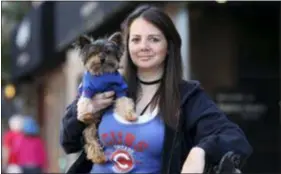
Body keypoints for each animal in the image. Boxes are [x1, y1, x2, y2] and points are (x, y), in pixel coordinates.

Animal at [73, 32, 137, 164]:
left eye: (108, 52)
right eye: (94, 52)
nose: (102, 58)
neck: (102, 74)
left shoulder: (119, 88)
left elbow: (124, 101)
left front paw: (130, 115)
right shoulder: (87, 88)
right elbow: (84, 102)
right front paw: (85, 115)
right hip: (90, 128)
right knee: (91, 141)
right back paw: (98, 156)